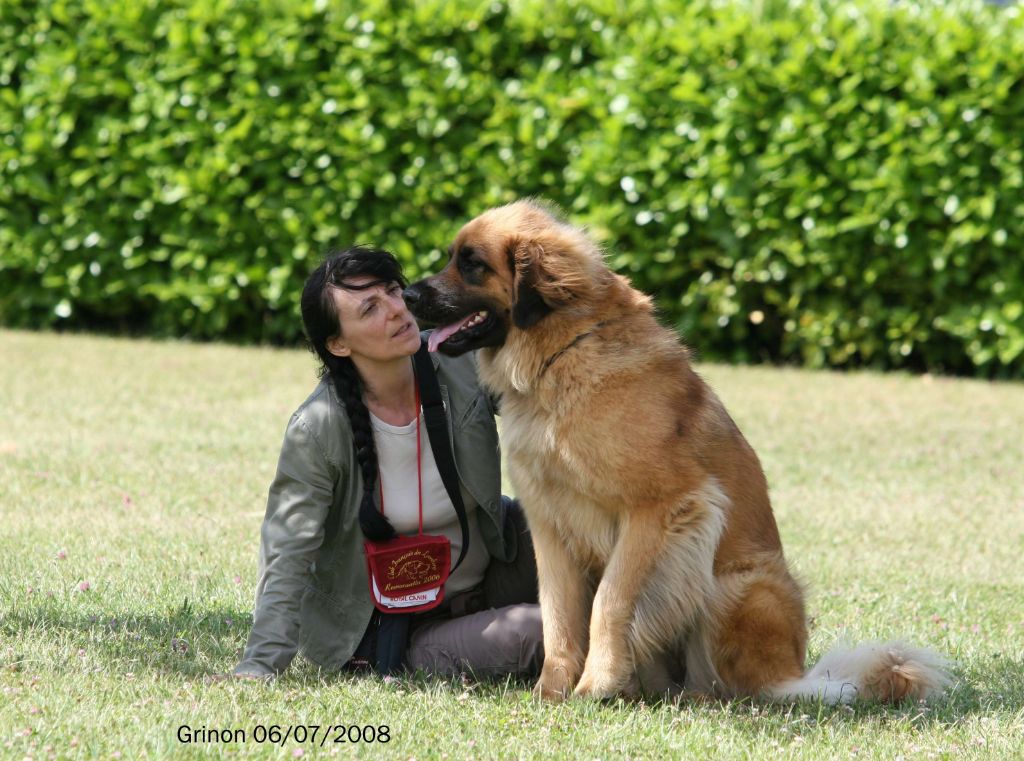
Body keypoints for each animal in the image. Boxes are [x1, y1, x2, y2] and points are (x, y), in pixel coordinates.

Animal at [403, 200, 946, 700]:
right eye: (452, 257)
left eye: (472, 263)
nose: (406, 293)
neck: (564, 353)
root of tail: (796, 671)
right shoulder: (550, 525)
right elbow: (558, 616)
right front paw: (551, 692)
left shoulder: (662, 509)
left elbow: (609, 602)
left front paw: (595, 686)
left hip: (738, 586)